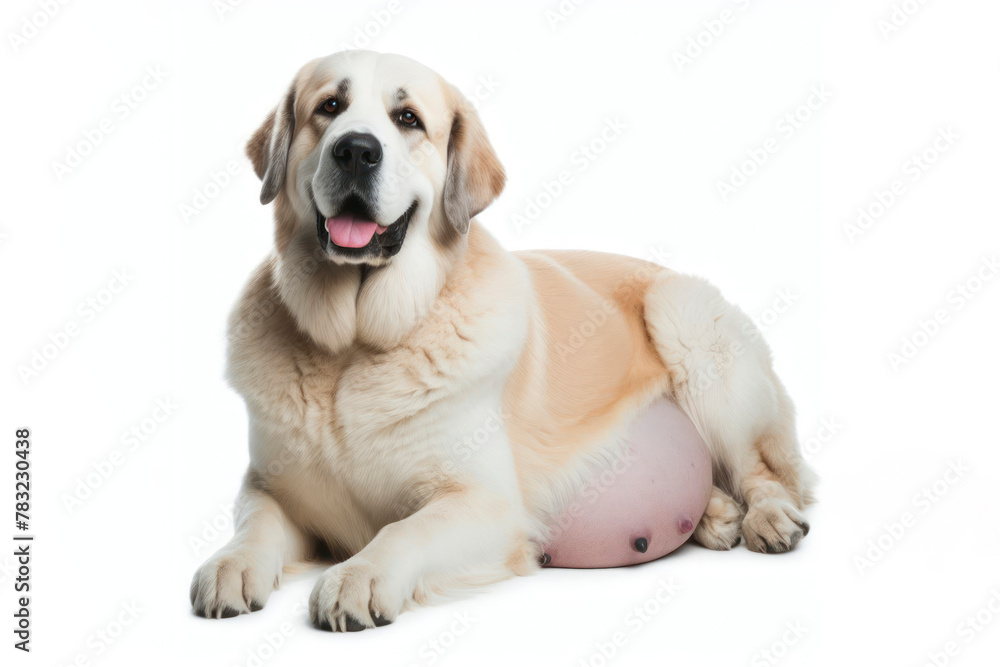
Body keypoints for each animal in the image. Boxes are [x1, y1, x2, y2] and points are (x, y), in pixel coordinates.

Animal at [191, 51, 816, 632]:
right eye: (329, 107)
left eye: (407, 119)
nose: (356, 150)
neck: (351, 349)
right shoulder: (269, 486)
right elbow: (254, 521)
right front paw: (231, 564)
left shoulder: (485, 504)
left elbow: (404, 530)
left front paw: (359, 576)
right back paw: (715, 514)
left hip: (685, 320)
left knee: (763, 470)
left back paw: (768, 518)